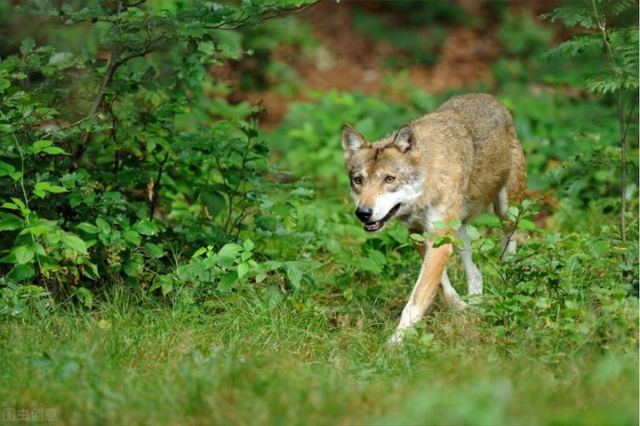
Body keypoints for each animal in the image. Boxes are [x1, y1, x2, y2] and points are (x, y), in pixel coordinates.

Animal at [340, 93, 524, 342]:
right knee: (475, 272)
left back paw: (507, 283)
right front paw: (461, 310)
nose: (363, 213)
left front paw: (395, 342)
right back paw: (475, 302)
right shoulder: (419, 234)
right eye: (358, 180)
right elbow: (440, 286)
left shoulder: (438, 241)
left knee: (509, 247)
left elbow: (417, 298)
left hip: (507, 212)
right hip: (459, 231)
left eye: (389, 179)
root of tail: (491, 98)